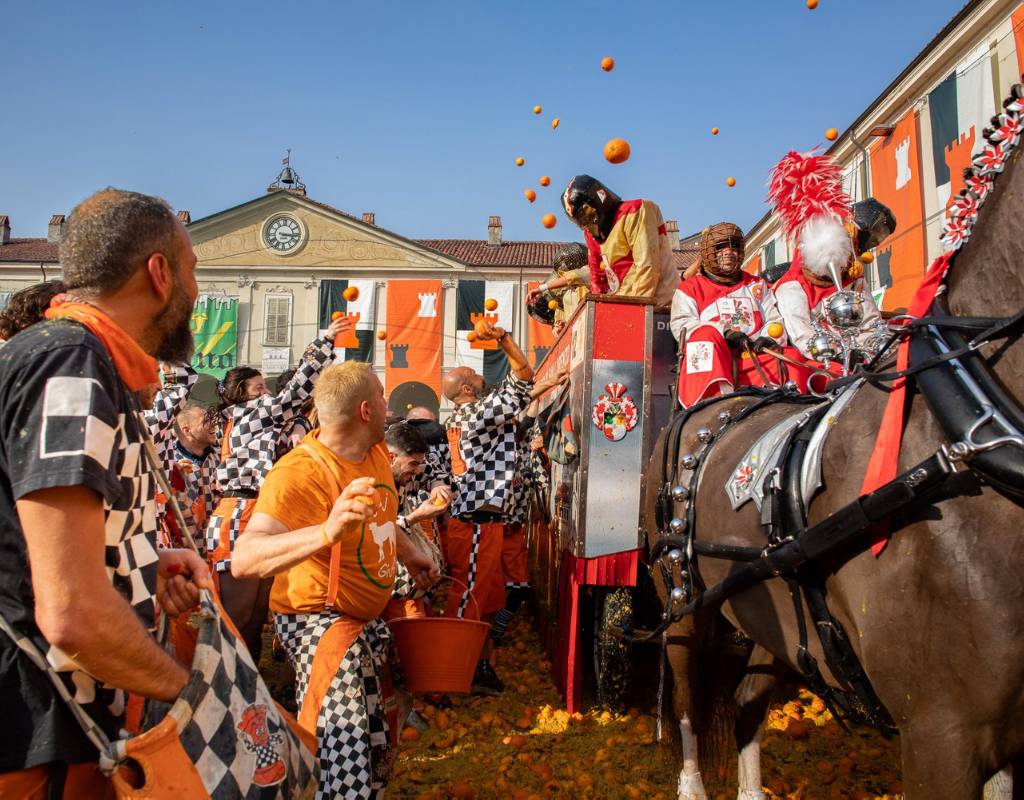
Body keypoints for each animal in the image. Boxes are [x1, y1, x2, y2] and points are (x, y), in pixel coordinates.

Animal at [647, 92, 1024, 790]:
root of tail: (708, 406)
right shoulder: (941, 732)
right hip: (682, 604)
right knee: (688, 701)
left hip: (770, 614)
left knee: (744, 702)